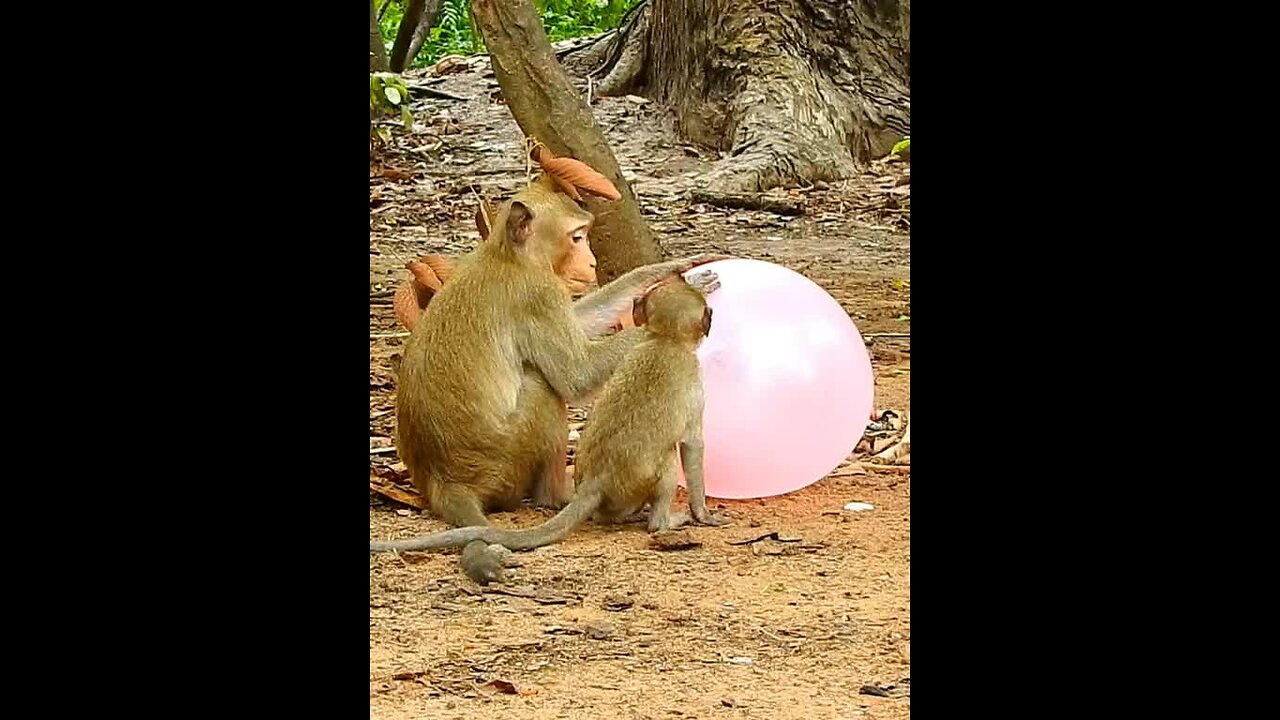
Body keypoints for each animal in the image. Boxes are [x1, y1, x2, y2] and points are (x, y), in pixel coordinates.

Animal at [374, 173, 724, 583]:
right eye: (576, 237)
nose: (591, 261)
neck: (507, 256)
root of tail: (442, 480)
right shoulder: (540, 294)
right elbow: (576, 376)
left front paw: (670, 273)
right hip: (503, 463)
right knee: (542, 386)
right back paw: (559, 495)